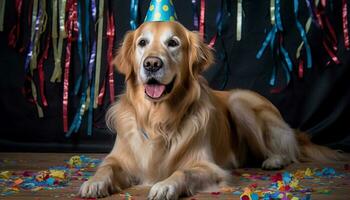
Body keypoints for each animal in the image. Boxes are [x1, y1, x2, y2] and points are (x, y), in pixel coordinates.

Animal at [78, 21, 342, 199]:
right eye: (142, 43)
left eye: (173, 43)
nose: (152, 64)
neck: (158, 120)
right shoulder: (120, 158)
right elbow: (106, 167)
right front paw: (94, 182)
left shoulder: (209, 167)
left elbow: (183, 172)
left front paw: (165, 185)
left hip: (240, 102)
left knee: (285, 150)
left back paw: (274, 160)